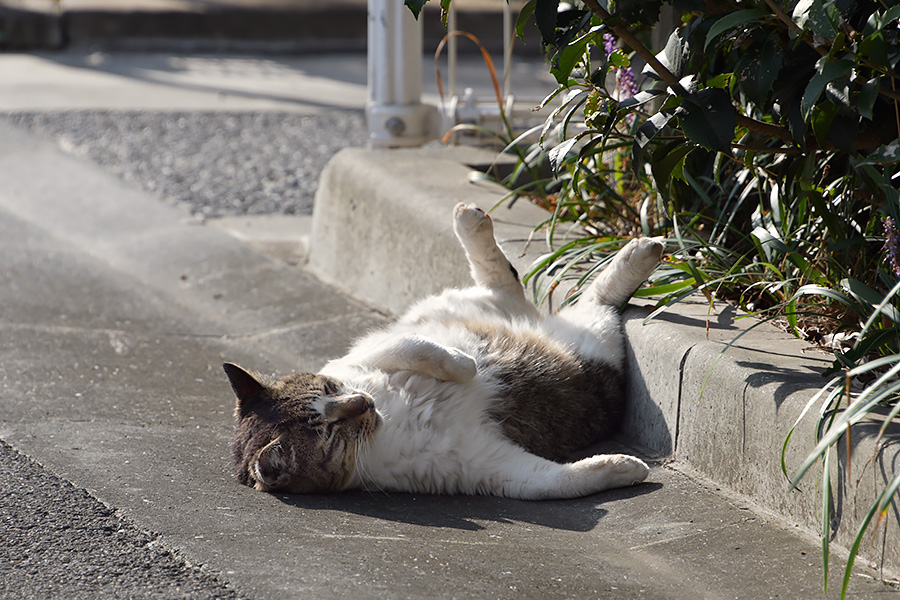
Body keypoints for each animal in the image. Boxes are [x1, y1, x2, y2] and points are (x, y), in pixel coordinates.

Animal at [222, 204, 664, 500]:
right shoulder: (480, 465)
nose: (363, 402)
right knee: (594, 300)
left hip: (460, 306)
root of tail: (536, 323)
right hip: (596, 349)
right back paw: (644, 251)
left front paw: (463, 365)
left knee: (503, 283)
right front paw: (620, 468)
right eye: (329, 432)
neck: (387, 419)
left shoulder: (355, 357)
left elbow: (411, 345)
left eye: (330, 390)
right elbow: (554, 482)